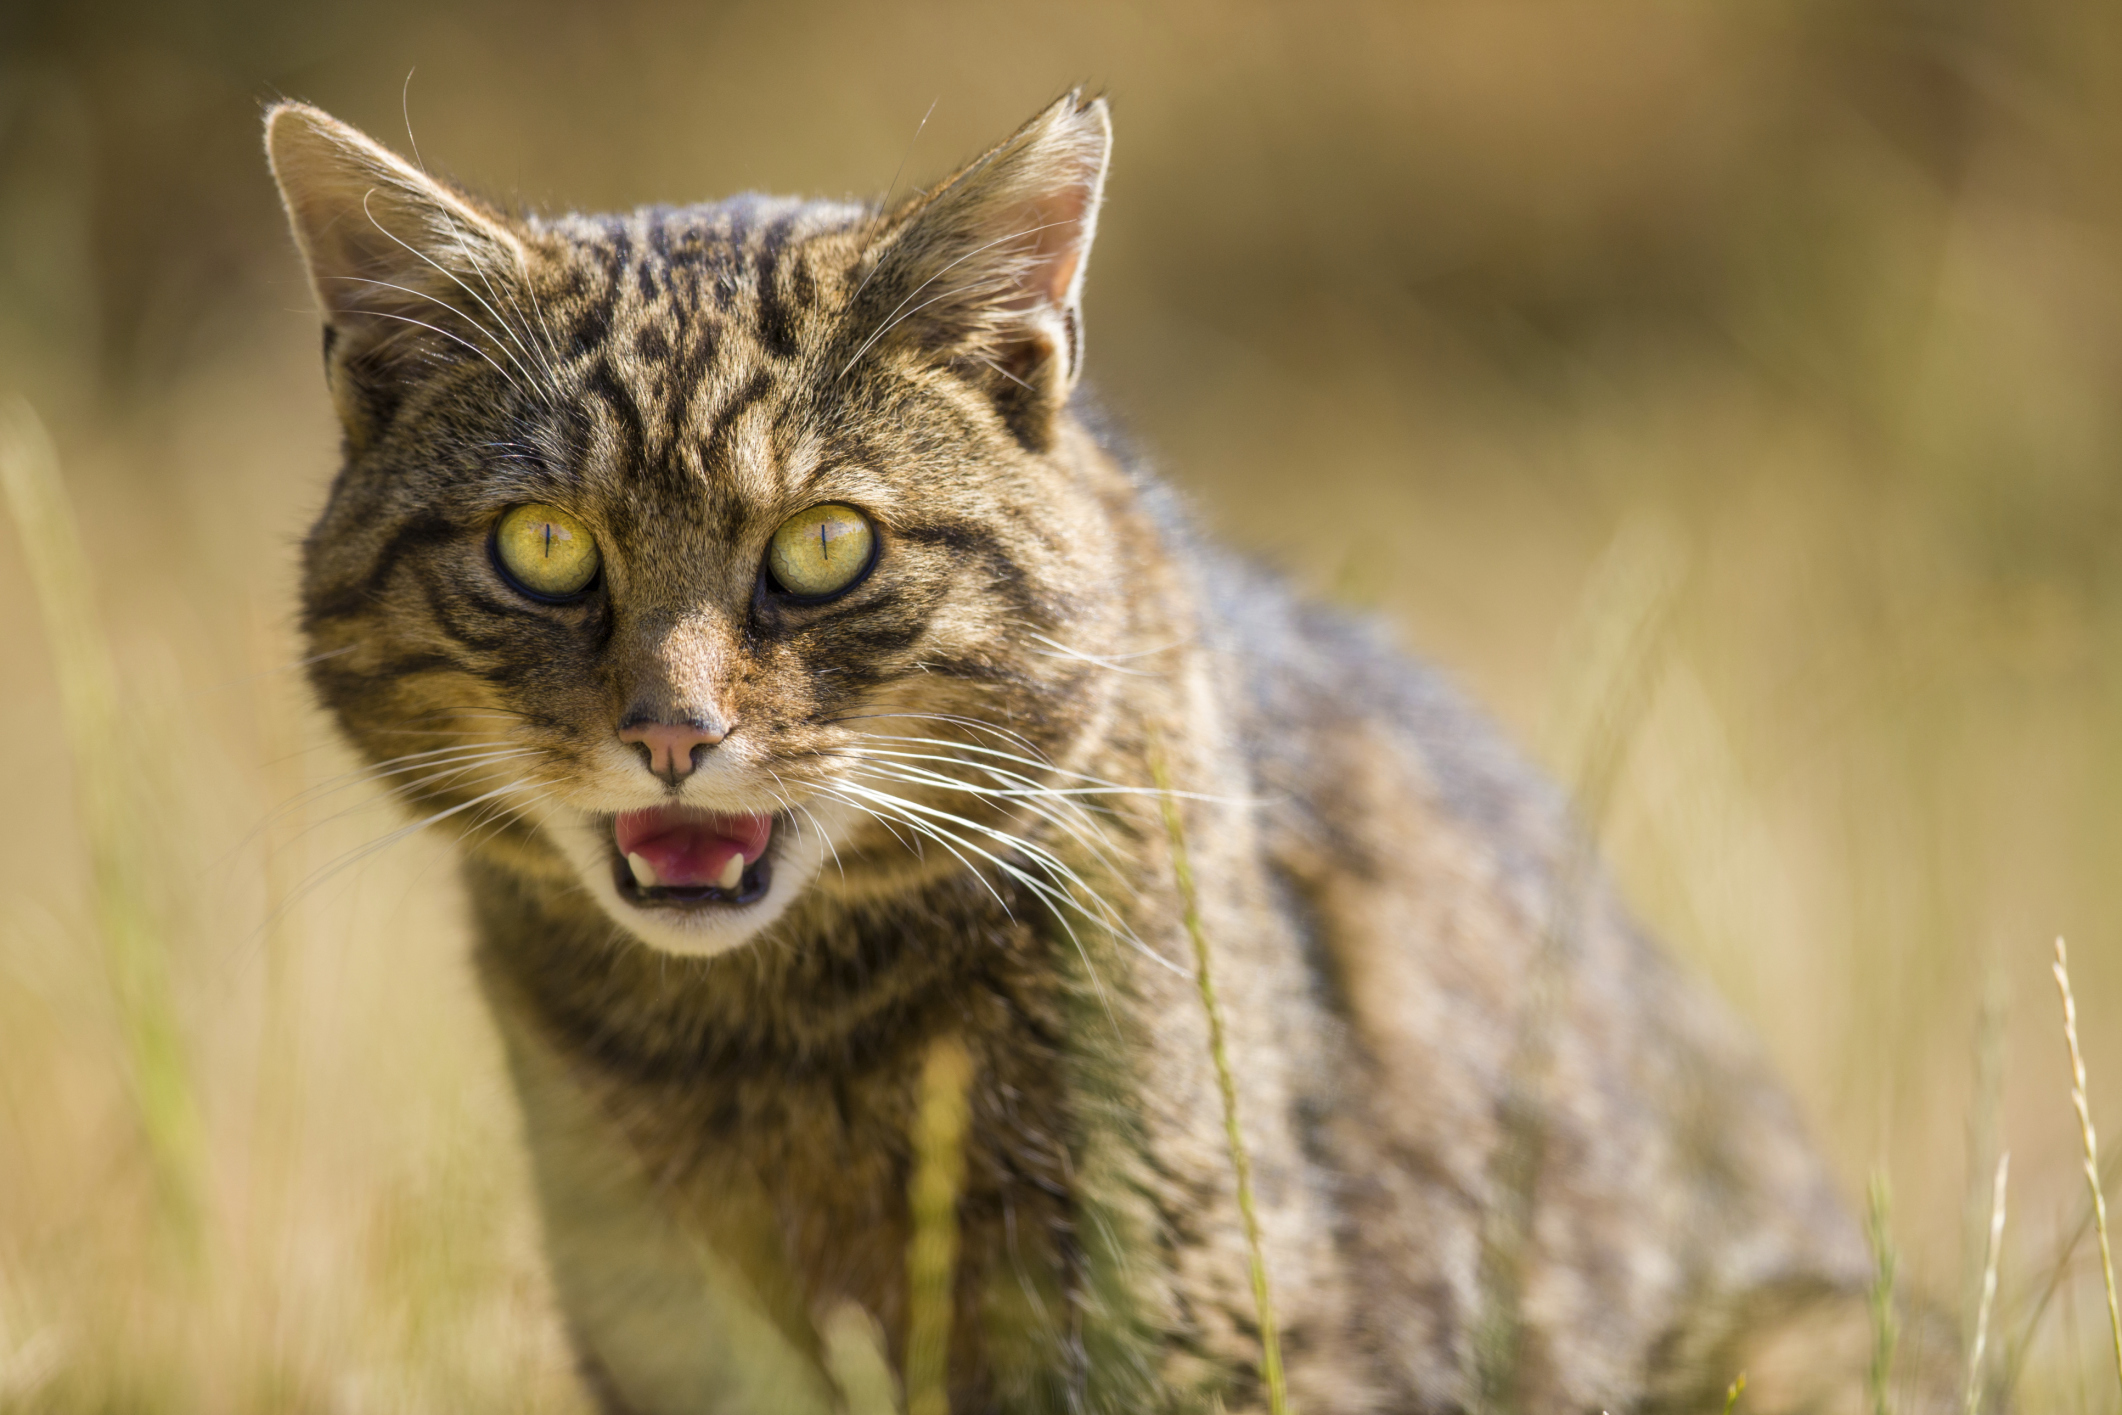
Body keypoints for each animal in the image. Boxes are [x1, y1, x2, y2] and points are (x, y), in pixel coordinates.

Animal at [265, 93, 1926, 1408]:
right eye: (542, 547)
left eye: (824, 545)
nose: (672, 729)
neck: (756, 1042)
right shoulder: (671, 1335)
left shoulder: (1201, 1325)